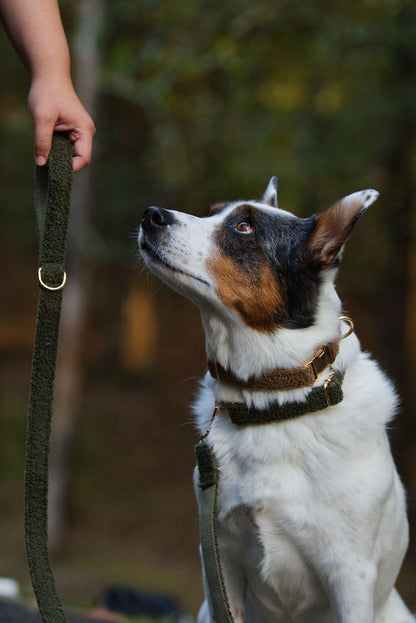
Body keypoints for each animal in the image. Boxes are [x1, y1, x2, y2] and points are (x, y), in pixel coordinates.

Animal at [139, 179, 412, 623]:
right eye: (210, 212)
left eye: (245, 227)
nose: (151, 215)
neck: (272, 402)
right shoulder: (220, 559)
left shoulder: (351, 576)